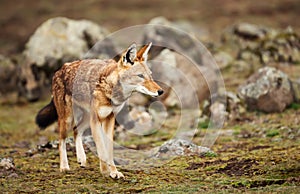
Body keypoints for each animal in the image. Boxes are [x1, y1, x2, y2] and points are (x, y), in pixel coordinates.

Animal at [35, 42, 164, 179]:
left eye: (151, 75)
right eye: (140, 76)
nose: (161, 91)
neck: (110, 89)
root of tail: (59, 70)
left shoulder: (110, 118)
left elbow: (109, 149)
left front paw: (114, 172)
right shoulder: (96, 120)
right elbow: (101, 148)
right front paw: (105, 171)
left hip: (86, 119)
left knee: (76, 130)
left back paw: (81, 159)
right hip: (67, 120)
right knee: (61, 141)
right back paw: (64, 167)